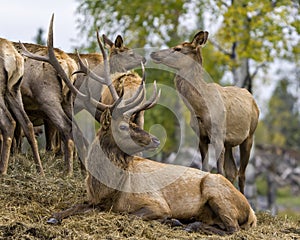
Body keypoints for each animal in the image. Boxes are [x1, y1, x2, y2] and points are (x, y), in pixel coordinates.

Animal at [0, 38, 44, 175]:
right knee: (27, 124)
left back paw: (3, 171)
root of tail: (15, 58)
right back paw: (40, 171)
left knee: (9, 123)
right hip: (14, 91)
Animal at [151, 31, 258, 193]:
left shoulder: (218, 135)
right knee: (232, 171)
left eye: (178, 49)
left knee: (242, 174)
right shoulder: (201, 137)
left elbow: (219, 172)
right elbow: (205, 169)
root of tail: (252, 97)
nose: (153, 53)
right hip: (229, 143)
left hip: (249, 136)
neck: (199, 108)